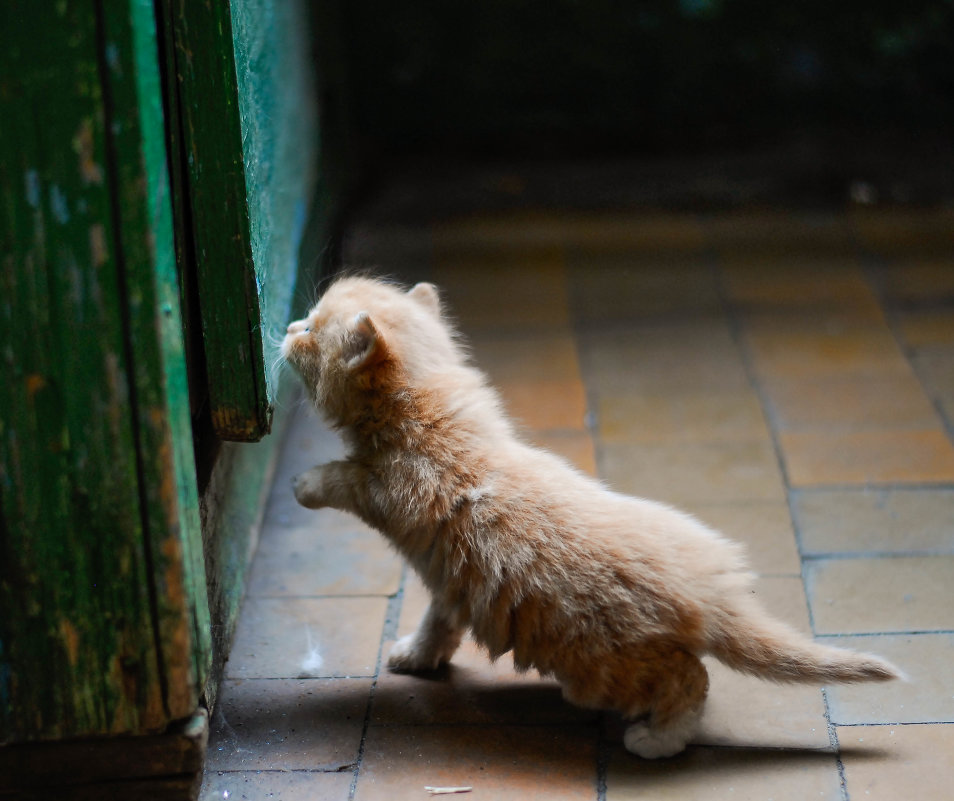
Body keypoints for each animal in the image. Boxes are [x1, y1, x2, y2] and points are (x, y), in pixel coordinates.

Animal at [278, 276, 896, 756]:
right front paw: (418, 655)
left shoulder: (391, 490)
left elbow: (345, 477)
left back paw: (659, 740)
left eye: (311, 330)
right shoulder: (454, 583)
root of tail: (715, 595)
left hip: (599, 667)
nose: (285, 327)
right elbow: (439, 620)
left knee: (691, 680)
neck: (430, 412)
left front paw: (305, 484)